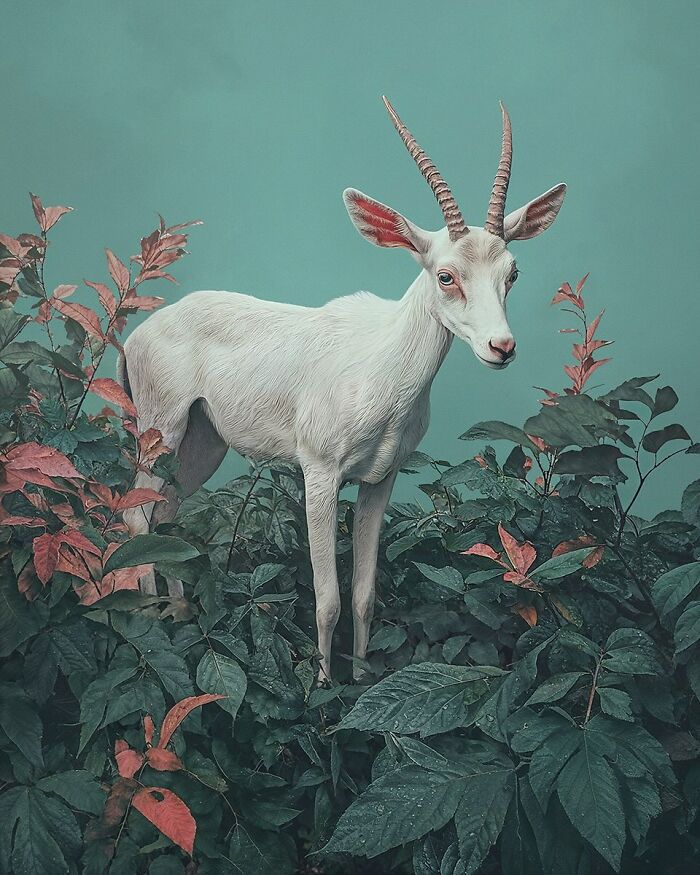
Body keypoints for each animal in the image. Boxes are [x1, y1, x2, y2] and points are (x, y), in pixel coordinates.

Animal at [120, 97, 566, 681]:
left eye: (512, 272)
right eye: (446, 275)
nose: (501, 346)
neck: (381, 372)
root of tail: (138, 334)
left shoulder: (381, 480)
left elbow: (364, 594)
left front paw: (358, 678)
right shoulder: (320, 475)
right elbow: (327, 599)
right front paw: (321, 687)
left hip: (202, 443)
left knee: (167, 514)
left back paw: (178, 615)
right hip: (160, 431)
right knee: (134, 514)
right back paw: (148, 624)